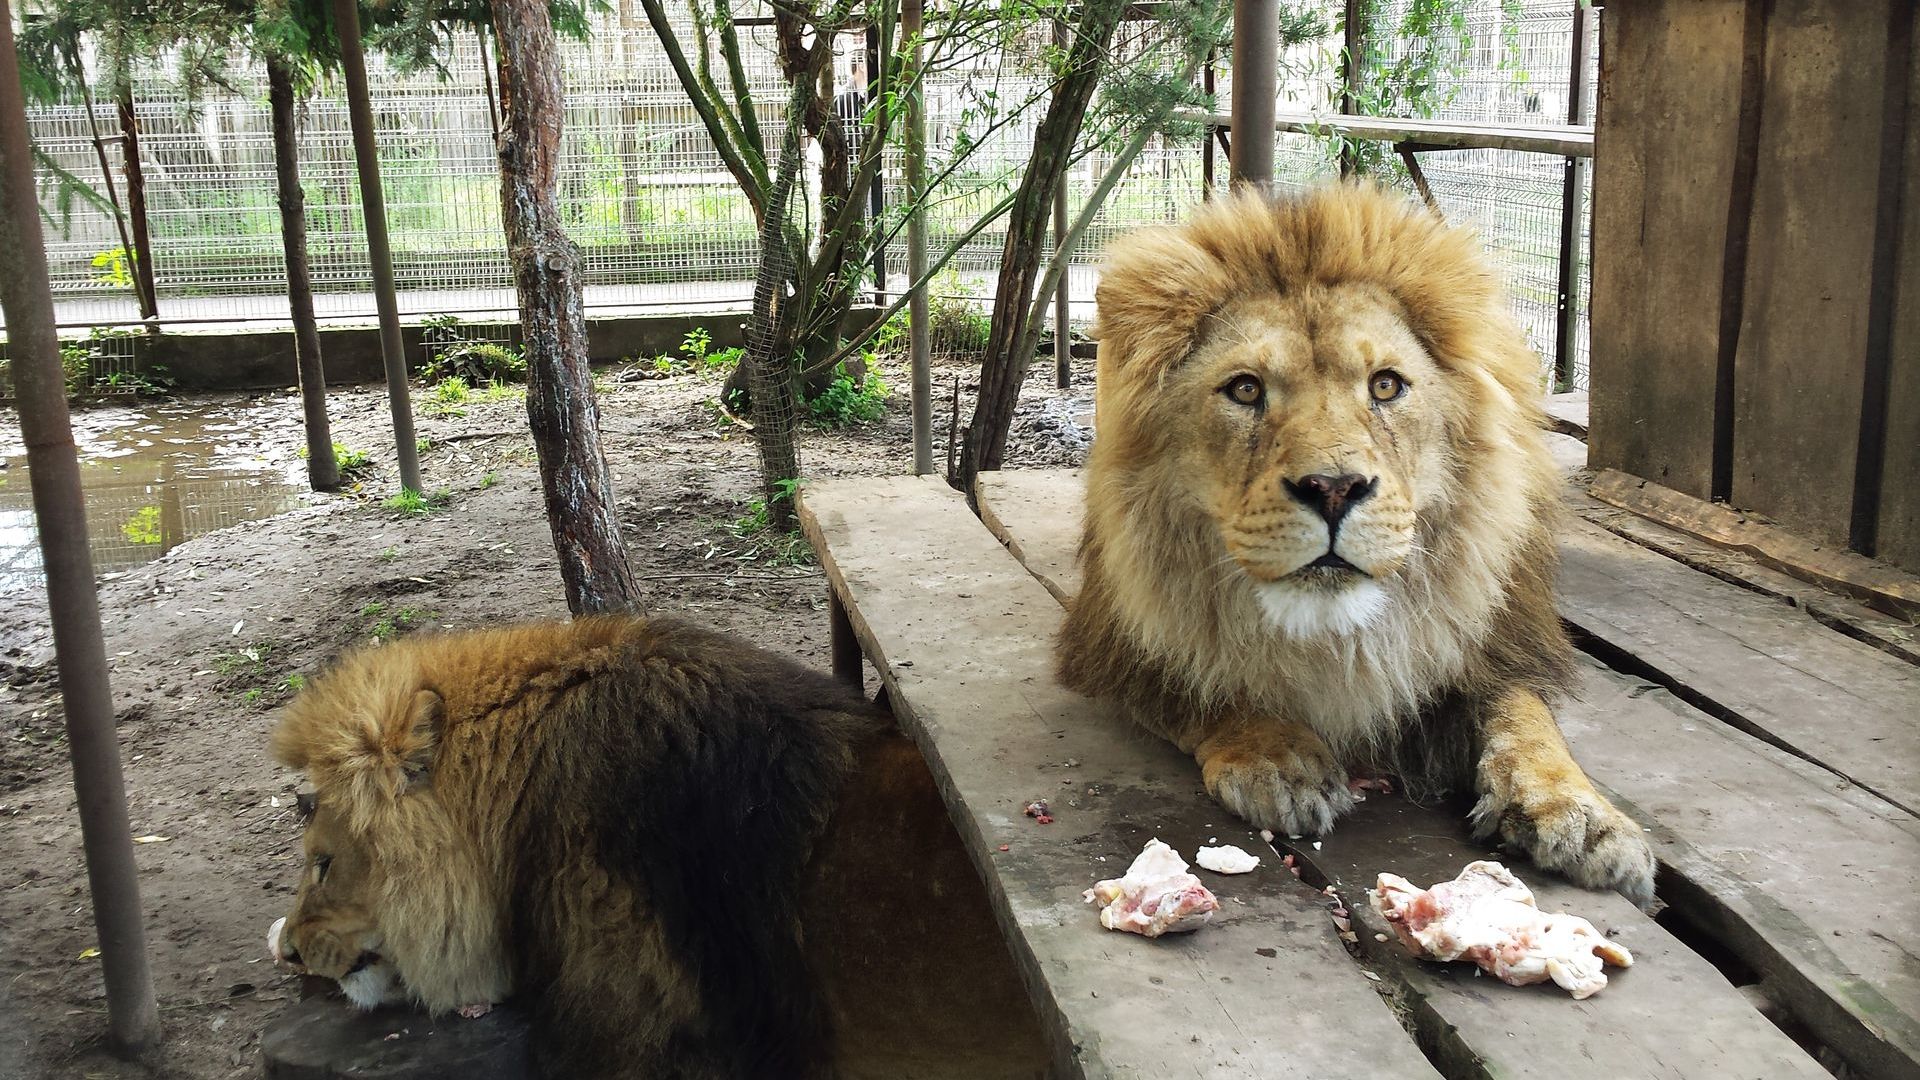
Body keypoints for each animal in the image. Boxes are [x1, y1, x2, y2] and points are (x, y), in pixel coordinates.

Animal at [1059, 182, 1658, 899]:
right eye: (1245, 389)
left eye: (1386, 385)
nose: (1334, 488)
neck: (1334, 636)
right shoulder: (1115, 642)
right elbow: (1200, 685)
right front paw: (1279, 758)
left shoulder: (1500, 644)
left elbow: (1524, 714)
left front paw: (1578, 811)